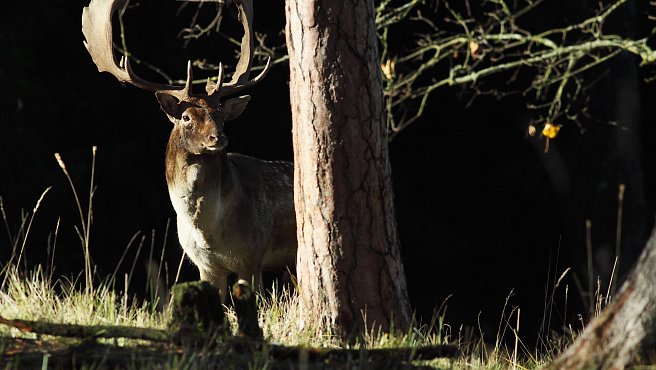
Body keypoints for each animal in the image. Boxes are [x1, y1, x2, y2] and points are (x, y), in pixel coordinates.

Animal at [82, 0, 298, 300]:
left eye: (221, 115)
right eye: (186, 117)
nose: (218, 137)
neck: (208, 233)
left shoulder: (253, 255)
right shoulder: (204, 266)